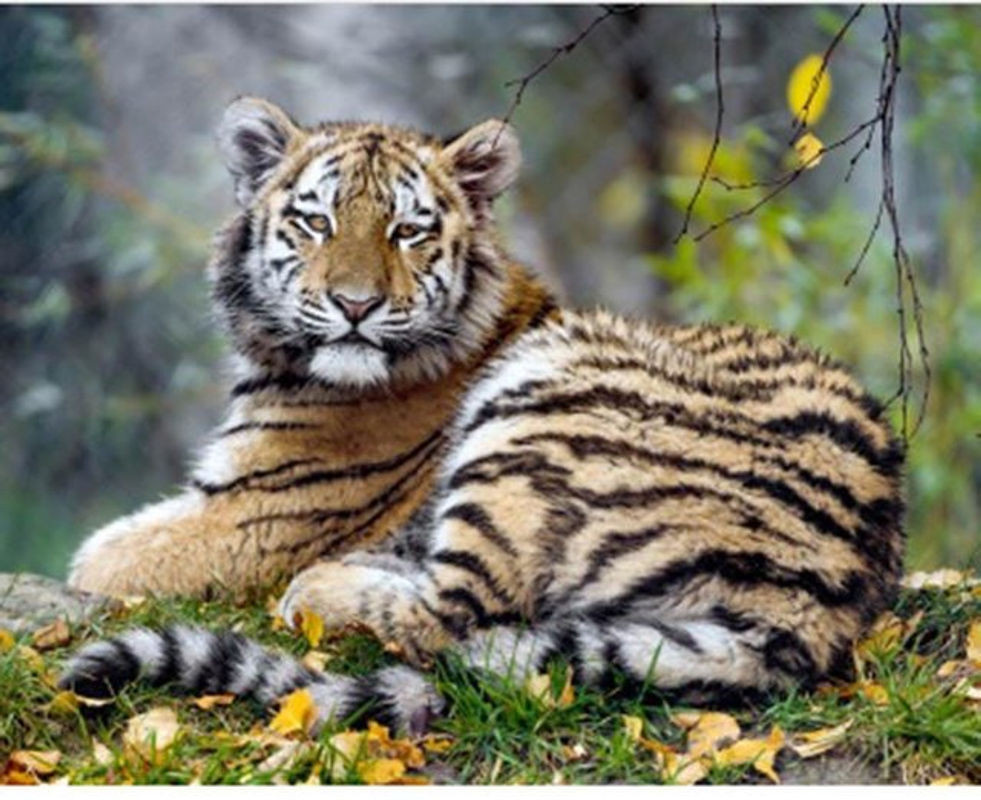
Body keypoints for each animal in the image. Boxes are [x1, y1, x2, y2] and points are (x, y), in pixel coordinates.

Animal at [61, 97, 905, 737]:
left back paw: (322, 586)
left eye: (407, 230)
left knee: (451, 615)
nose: (355, 305)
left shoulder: (254, 514)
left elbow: (99, 559)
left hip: (536, 400)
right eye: (317, 223)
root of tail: (823, 600)